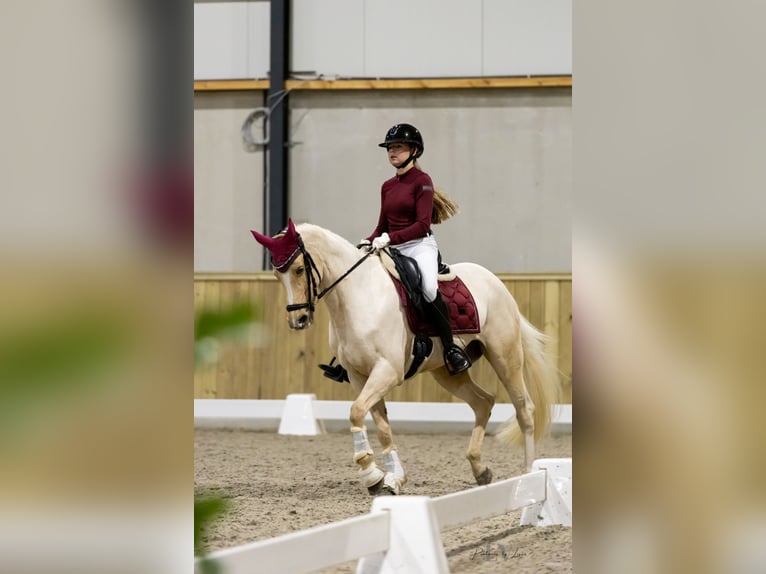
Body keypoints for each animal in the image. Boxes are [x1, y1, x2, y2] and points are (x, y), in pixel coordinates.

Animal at [255, 218, 560, 498]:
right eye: (277, 275)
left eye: (298, 269)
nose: (298, 319)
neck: (358, 296)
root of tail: (496, 282)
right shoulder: (359, 375)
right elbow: (381, 426)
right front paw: (389, 478)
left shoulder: (387, 371)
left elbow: (356, 411)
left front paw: (370, 471)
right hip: (448, 372)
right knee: (483, 402)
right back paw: (480, 470)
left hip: (505, 357)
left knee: (524, 409)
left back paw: (529, 475)